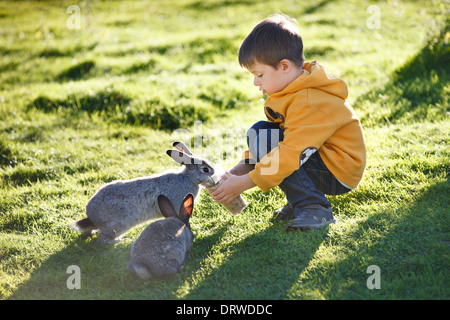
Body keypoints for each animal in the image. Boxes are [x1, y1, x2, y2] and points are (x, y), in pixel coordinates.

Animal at [72, 141, 216, 244]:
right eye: (205, 170)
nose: (214, 173)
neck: (189, 178)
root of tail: (91, 216)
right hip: (119, 225)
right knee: (102, 240)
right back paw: (122, 241)